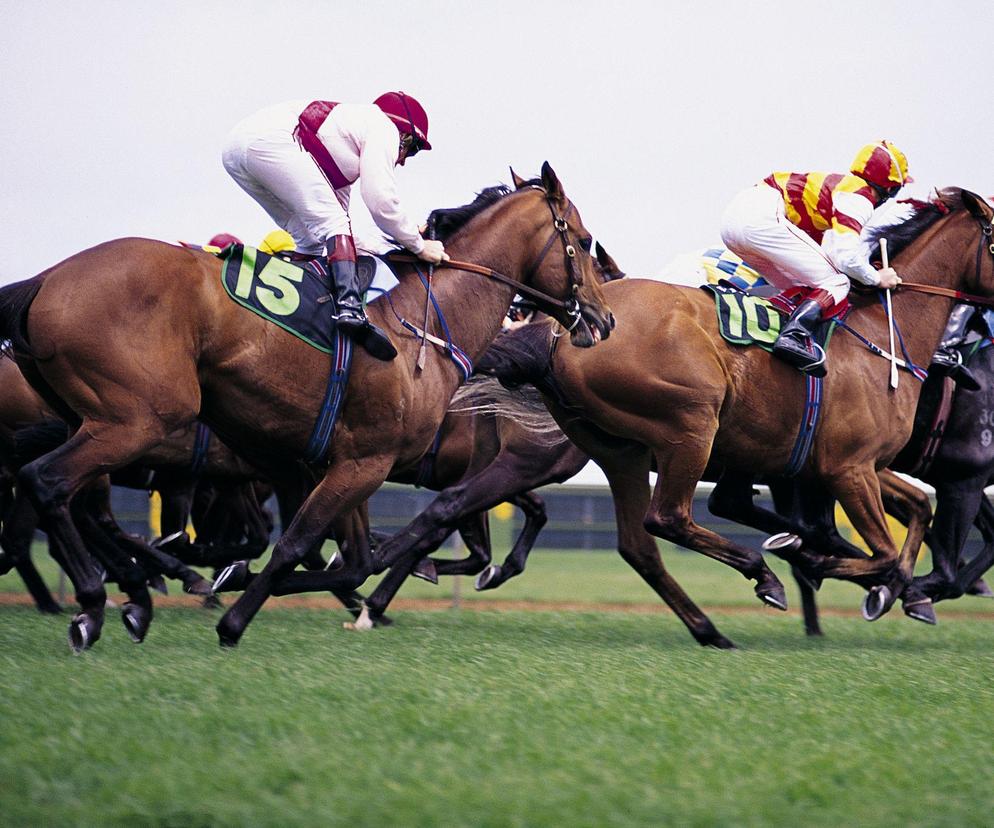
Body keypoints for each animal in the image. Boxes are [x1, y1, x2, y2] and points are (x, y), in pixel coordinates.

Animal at [0, 163, 612, 652]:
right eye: (583, 241)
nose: (604, 320)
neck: (426, 324)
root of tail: (46, 279)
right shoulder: (360, 464)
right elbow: (301, 544)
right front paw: (234, 619)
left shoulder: (344, 464)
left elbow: (350, 558)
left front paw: (234, 579)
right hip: (139, 419)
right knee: (49, 483)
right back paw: (95, 603)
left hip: (93, 421)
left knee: (70, 501)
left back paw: (129, 596)